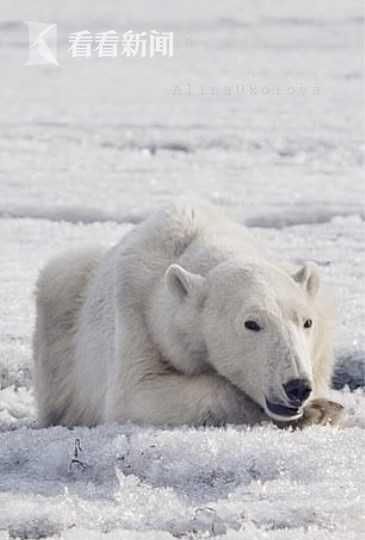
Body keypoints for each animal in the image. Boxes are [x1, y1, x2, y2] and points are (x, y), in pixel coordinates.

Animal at [32, 205, 342, 428]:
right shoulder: (136, 316)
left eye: (306, 322)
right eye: (251, 323)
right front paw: (317, 411)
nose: (297, 387)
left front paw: (323, 407)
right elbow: (137, 392)